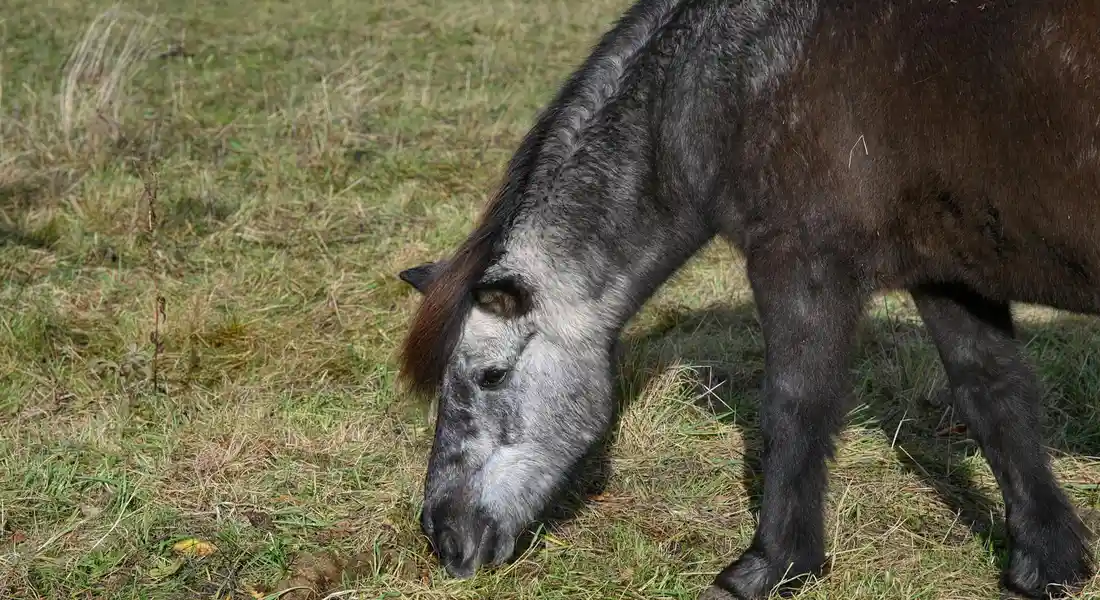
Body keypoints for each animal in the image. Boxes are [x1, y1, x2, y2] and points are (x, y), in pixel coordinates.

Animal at [395, 0, 1100, 597]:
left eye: (489, 376)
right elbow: (995, 399)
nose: (443, 536)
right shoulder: (948, 275)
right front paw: (1046, 565)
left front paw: (769, 566)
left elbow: (793, 407)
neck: (741, 75)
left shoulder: (802, 266)